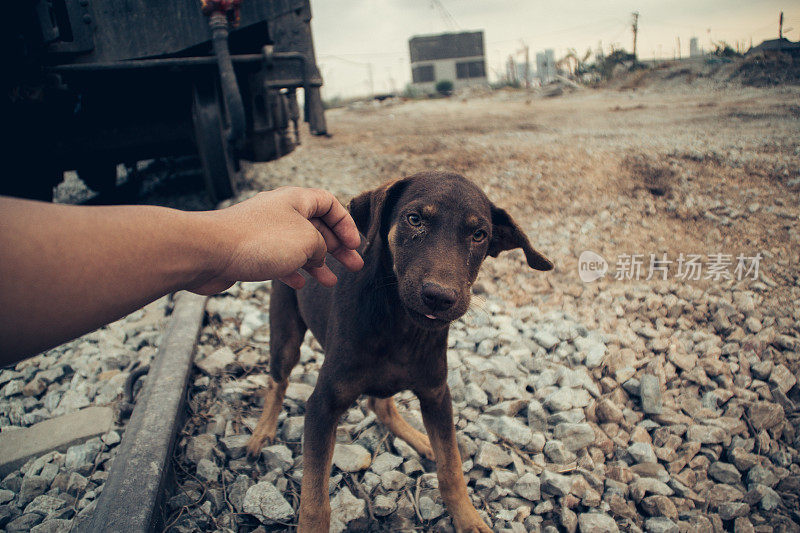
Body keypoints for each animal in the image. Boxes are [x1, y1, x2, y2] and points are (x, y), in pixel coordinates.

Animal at [247, 171, 552, 532]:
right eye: (414, 219)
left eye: (479, 235)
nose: (440, 297)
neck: (399, 323)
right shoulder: (323, 404)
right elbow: (315, 499)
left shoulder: (436, 394)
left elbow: (451, 465)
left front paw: (468, 518)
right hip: (286, 332)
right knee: (277, 382)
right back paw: (262, 432)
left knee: (380, 405)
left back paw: (420, 439)